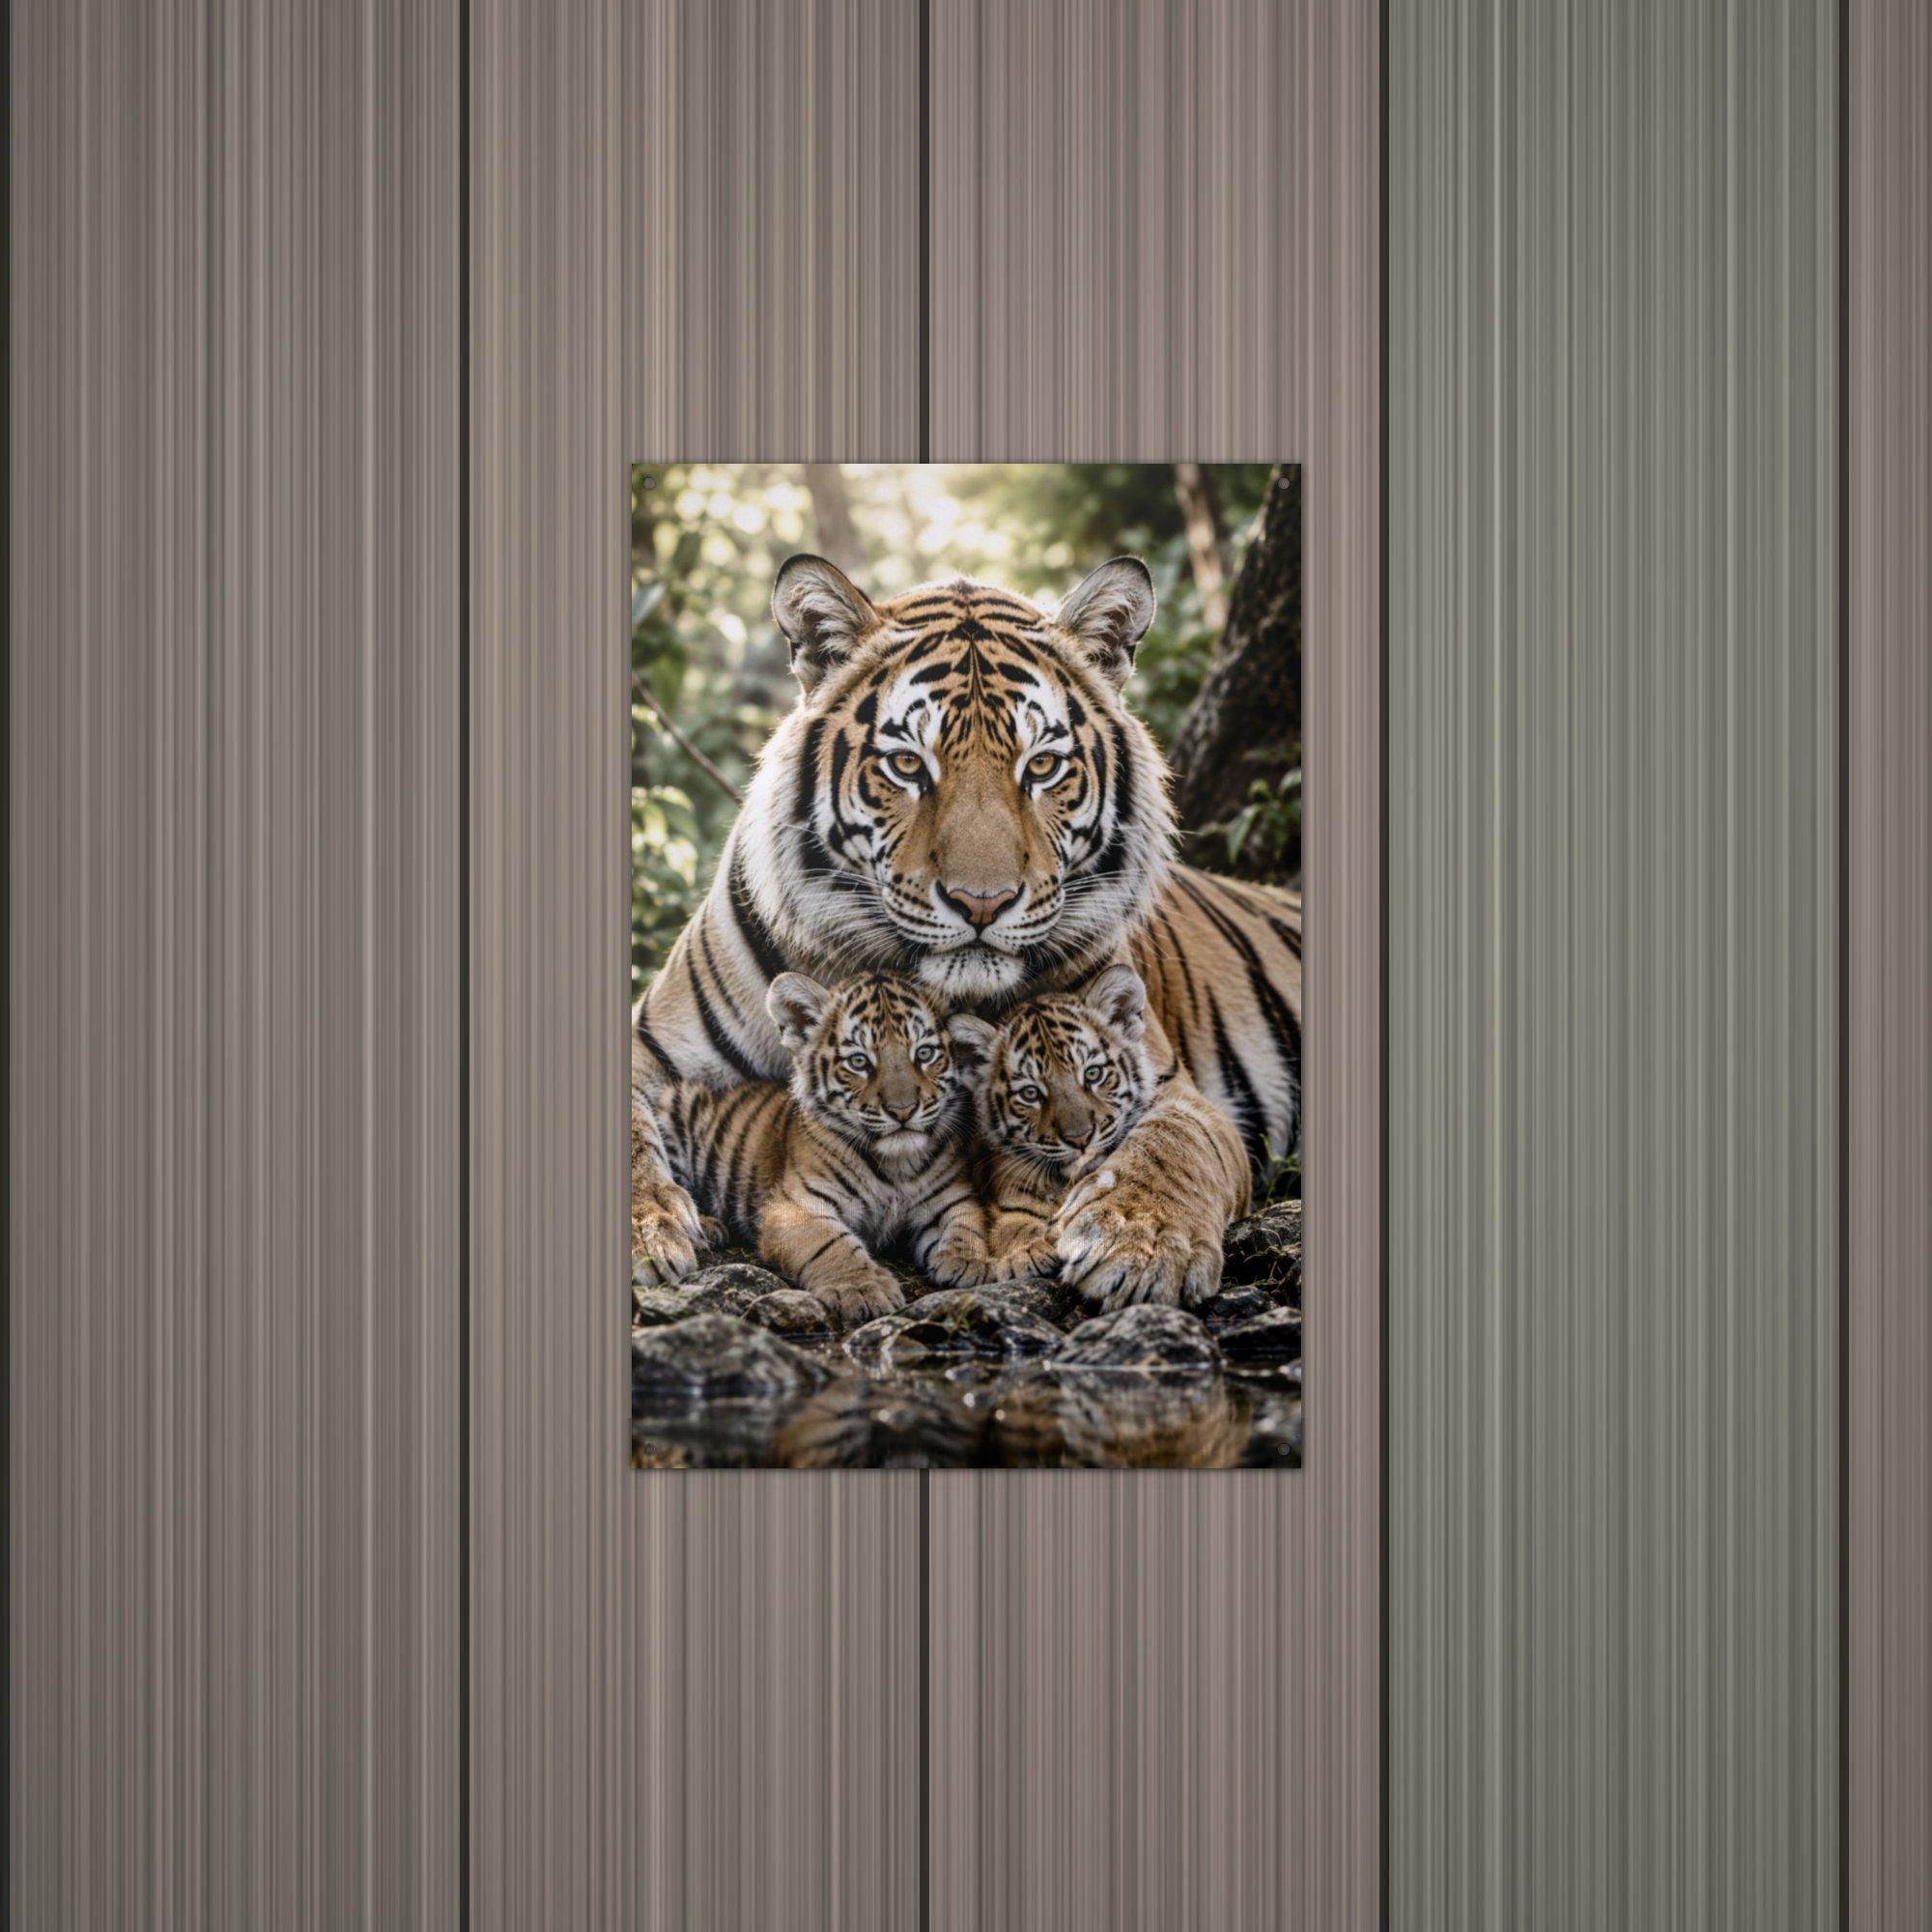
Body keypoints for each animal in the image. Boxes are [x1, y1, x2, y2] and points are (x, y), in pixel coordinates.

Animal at [653, 970, 993, 1322]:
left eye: (924, 1054)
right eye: (858, 1061)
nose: (903, 1110)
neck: (896, 1163)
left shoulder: (950, 1196)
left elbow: (967, 1222)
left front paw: (969, 1262)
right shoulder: (796, 1207)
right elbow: (831, 1244)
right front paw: (862, 1288)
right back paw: (704, 1227)